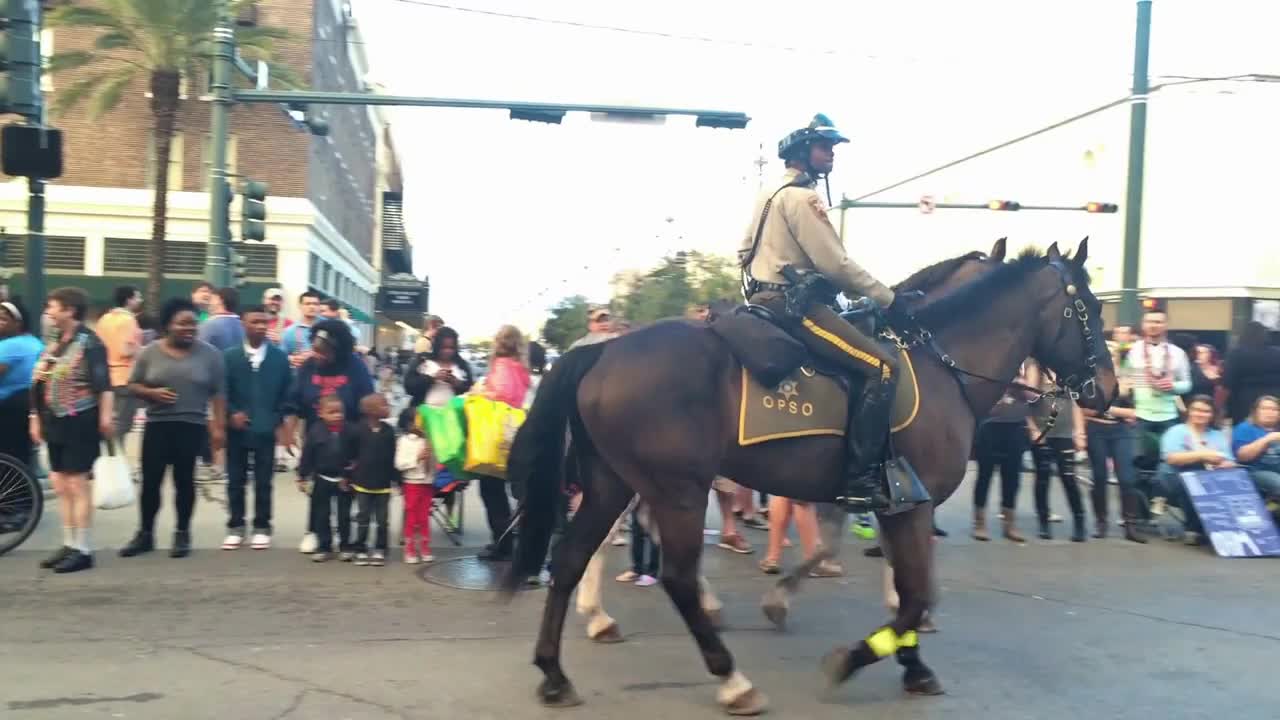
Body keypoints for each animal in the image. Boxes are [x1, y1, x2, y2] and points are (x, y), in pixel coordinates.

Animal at [504, 237, 1116, 712]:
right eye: (1089, 309)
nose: (1107, 391)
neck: (941, 367)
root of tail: (602, 352)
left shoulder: (885, 501)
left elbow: (892, 581)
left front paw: (908, 660)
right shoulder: (909, 502)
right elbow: (913, 592)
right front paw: (859, 656)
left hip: (615, 481)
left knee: (572, 557)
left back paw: (555, 670)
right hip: (676, 490)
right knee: (673, 575)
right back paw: (732, 679)